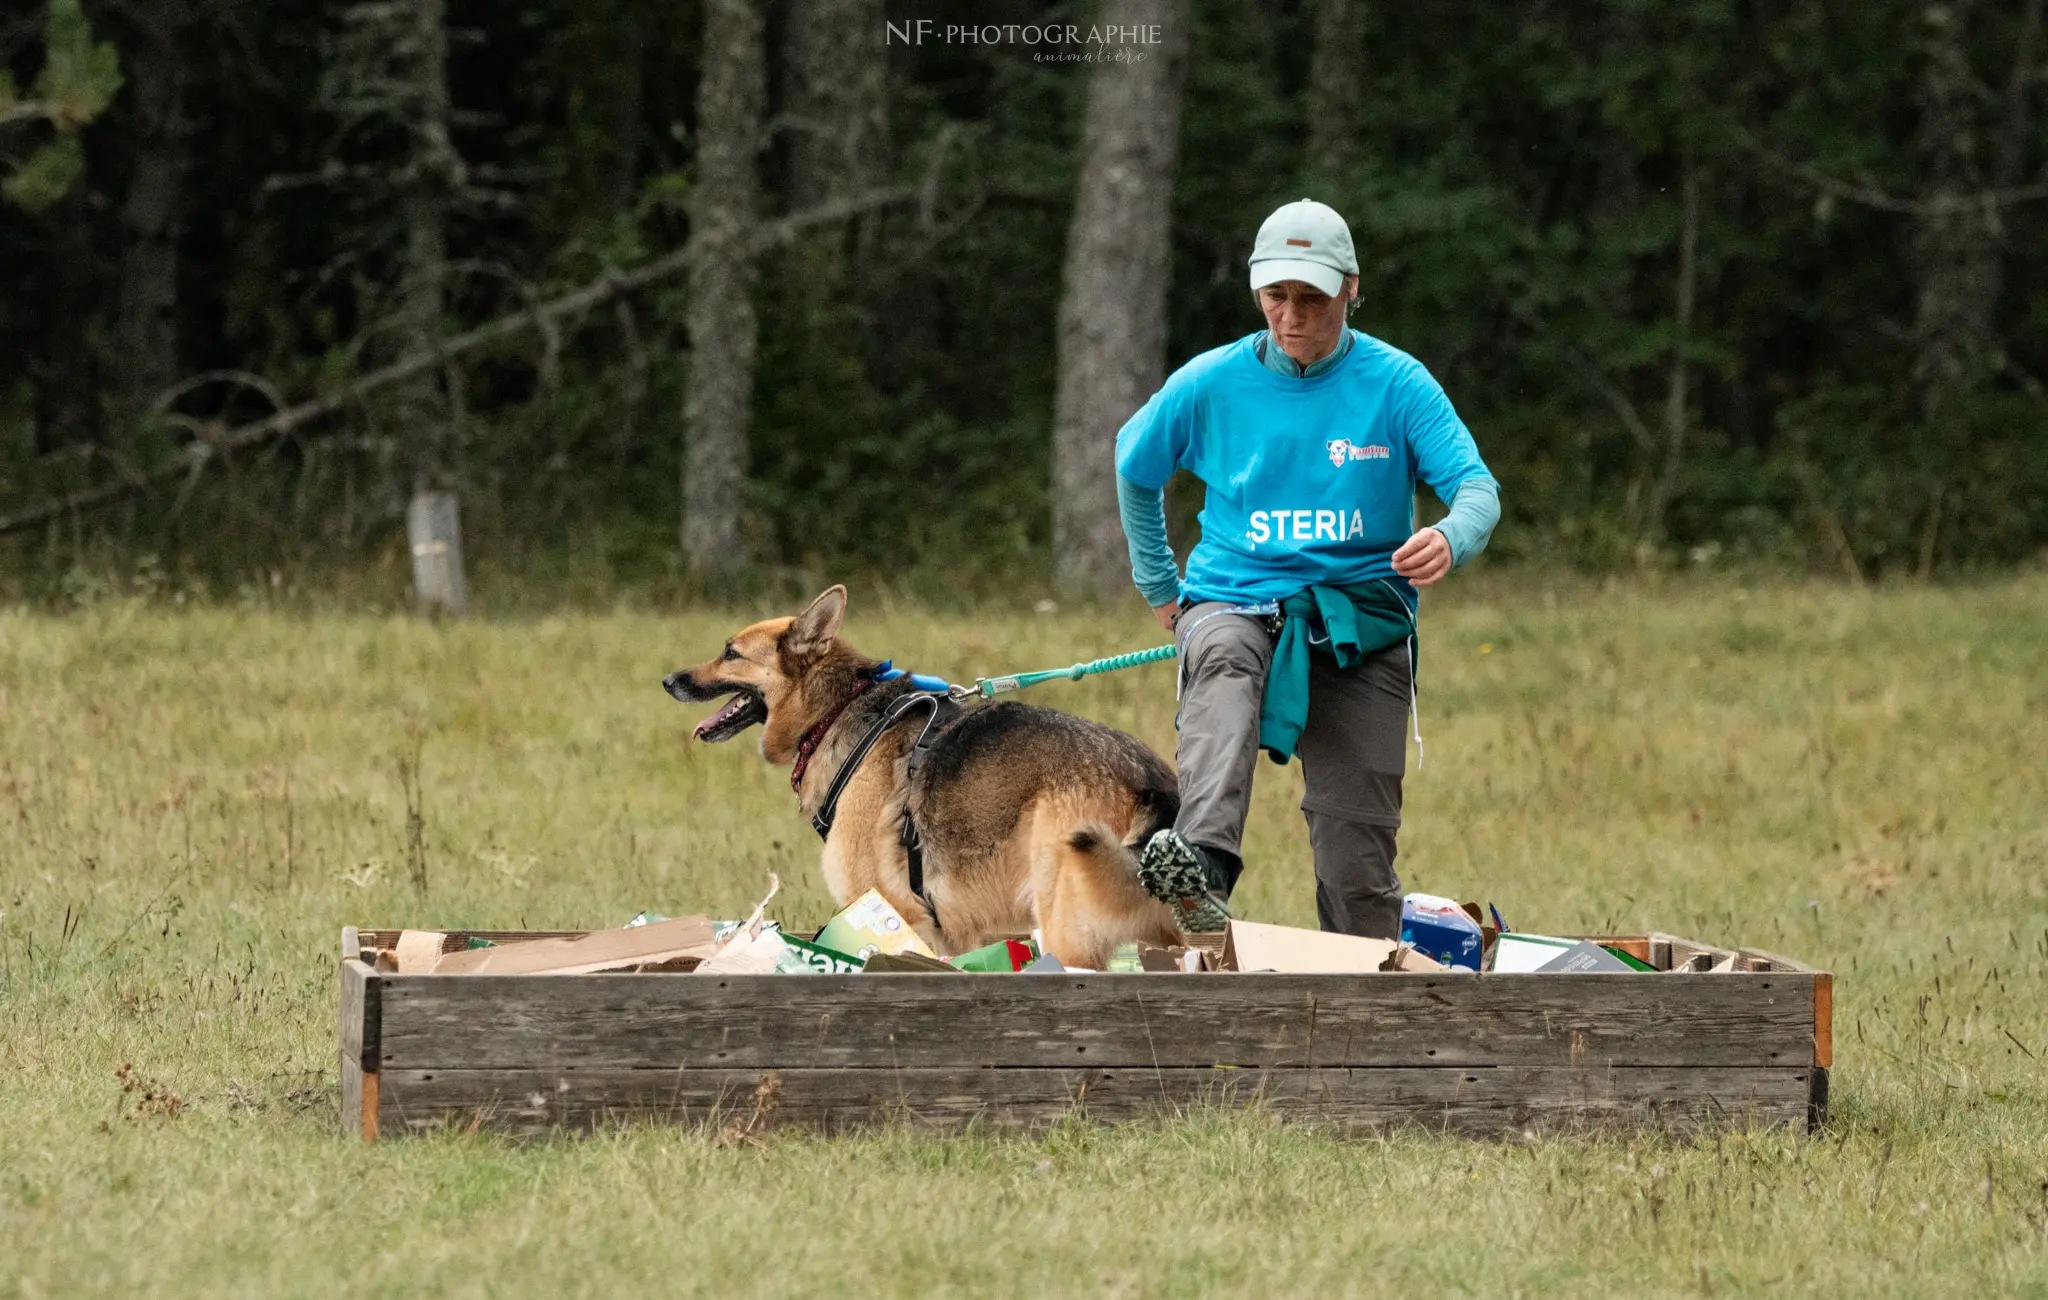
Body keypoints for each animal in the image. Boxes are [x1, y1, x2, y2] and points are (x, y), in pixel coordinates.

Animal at [667, 589, 1187, 966]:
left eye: (730, 653)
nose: (668, 680)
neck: (836, 711)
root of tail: (1146, 778)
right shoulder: (959, 935)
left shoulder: (900, 917)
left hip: (1065, 931)